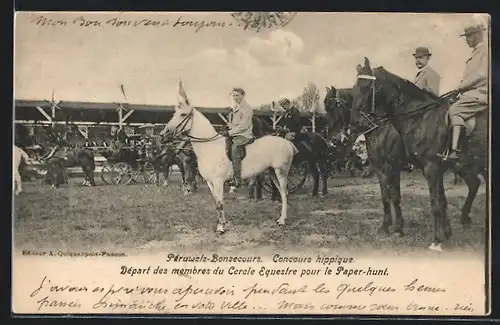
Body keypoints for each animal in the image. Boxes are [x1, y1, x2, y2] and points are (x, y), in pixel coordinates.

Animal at [165, 97, 296, 232]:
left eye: (183, 114)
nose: (165, 133)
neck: (210, 146)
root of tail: (288, 142)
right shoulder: (210, 182)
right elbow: (216, 202)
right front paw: (223, 222)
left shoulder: (218, 182)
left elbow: (220, 203)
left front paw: (220, 228)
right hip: (272, 172)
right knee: (282, 192)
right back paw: (280, 218)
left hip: (281, 172)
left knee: (284, 193)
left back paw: (282, 221)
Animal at [352, 57, 488, 251]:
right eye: (353, 88)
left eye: (365, 86)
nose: (356, 121)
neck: (421, 118)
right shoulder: (392, 168)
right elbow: (436, 200)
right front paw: (445, 232)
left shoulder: (426, 167)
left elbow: (433, 202)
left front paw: (436, 240)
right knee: (475, 184)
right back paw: (465, 219)